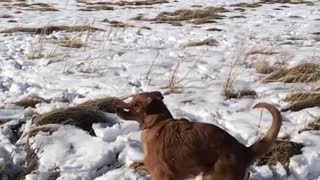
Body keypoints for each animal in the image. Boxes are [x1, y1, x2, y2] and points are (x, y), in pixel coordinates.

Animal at [116, 91, 282, 180]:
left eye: (136, 105)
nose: (117, 108)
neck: (157, 122)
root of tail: (244, 150)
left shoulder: (161, 175)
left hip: (213, 177)